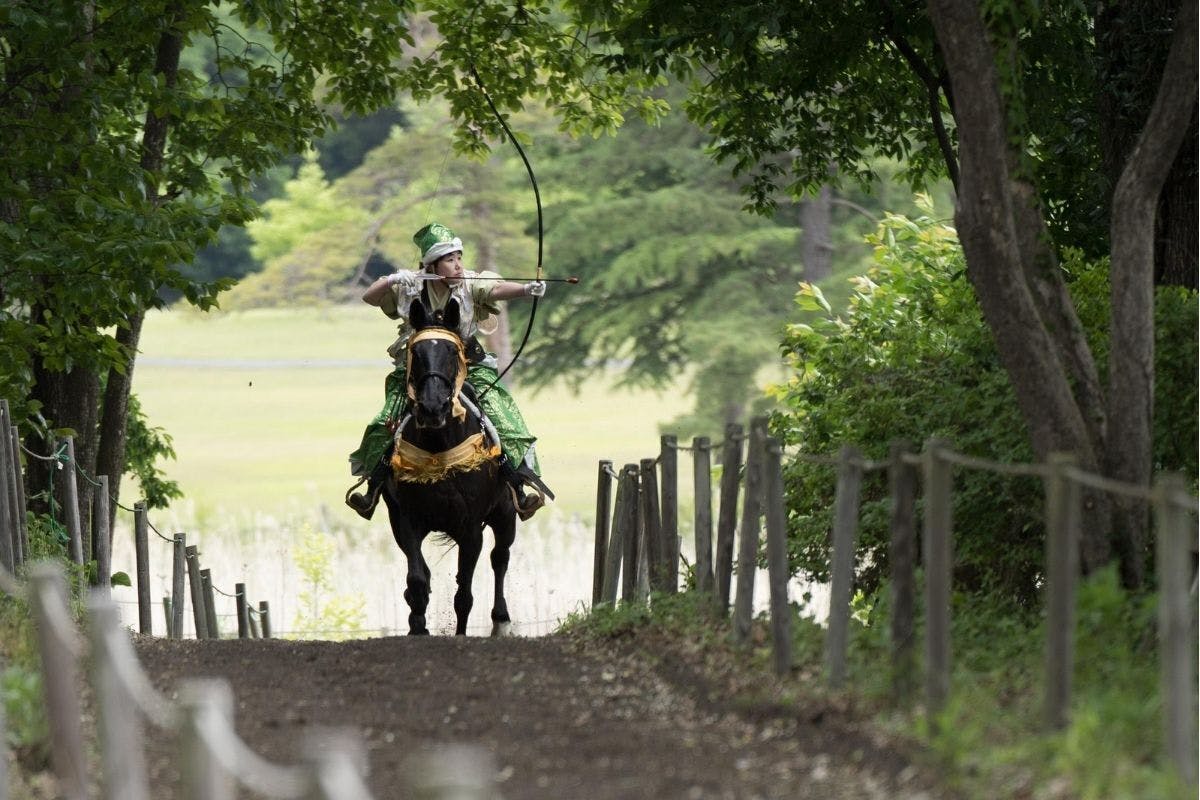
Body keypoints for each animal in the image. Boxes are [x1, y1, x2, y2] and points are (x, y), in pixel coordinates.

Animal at [381, 297, 518, 633]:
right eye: (415, 353)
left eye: (452, 353)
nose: (433, 407)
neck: (438, 448)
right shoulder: (406, 519)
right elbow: (417, 580)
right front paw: (418, 626)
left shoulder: (470, 527)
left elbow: (464, 594)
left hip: (505, 512)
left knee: (500, 557)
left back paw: (501, 618)